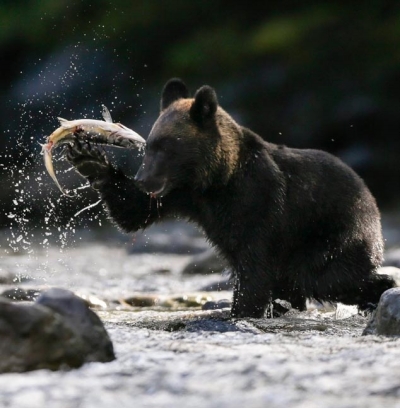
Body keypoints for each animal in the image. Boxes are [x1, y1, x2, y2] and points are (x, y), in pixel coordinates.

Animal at [65, 78, 394, 318]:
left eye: (167, 146)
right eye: (149, 146)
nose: (145, 180)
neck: (215, 181)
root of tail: (371, 199)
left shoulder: (259, 203)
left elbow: (254, 267)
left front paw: (240, 311)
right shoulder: (183, 197)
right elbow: (133, 211)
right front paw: (88, 156)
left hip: (331, 233)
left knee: (322, 275)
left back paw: (379, 289)